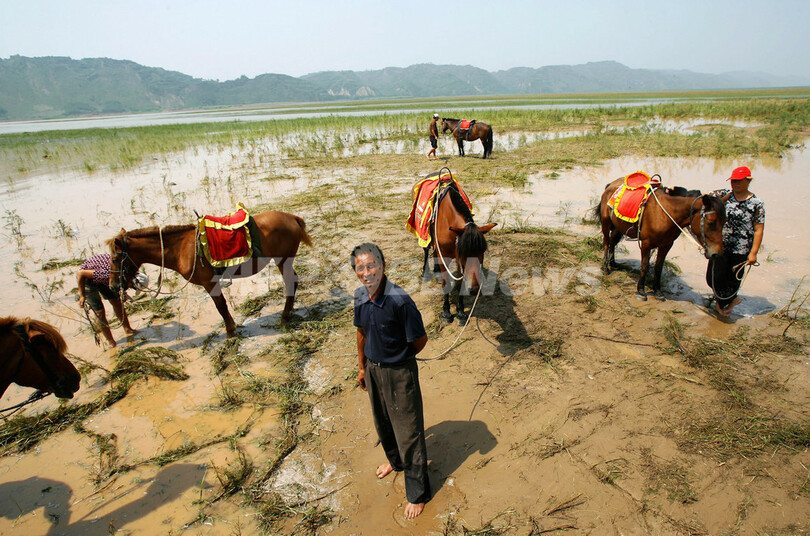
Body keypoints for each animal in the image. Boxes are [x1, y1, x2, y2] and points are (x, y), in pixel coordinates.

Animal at [108, 211, 313, 337]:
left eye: (115, 257)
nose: (112, 285)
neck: (181, 249)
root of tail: (291, 217)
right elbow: (222, 306)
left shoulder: (209, 282)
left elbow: (220, 306)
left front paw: (230, 331)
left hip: (283, 260)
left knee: (290, 283)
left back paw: (285, 316)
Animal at [427, 184, 496, 324]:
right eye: (463, 251)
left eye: (483, 251)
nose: (474, 289)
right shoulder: (445, 257)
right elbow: (446, 283)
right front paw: (446, 312)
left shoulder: (459, 261)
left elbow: (460, 284)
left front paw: (460, 311)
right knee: (426, 250)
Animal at [596, 179, 726, 300]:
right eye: (711, 222)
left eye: (724, 222)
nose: (717, 253)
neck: (666, 213)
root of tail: (611, 185)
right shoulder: (646, 243)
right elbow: (644, 266)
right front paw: (641, 290)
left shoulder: (667, 244)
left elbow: (658, 267)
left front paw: (657, 291)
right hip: (606, 223)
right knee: (606, 242)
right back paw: (606, 266)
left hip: (619, 226)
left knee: (613, 241)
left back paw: (613, 263)